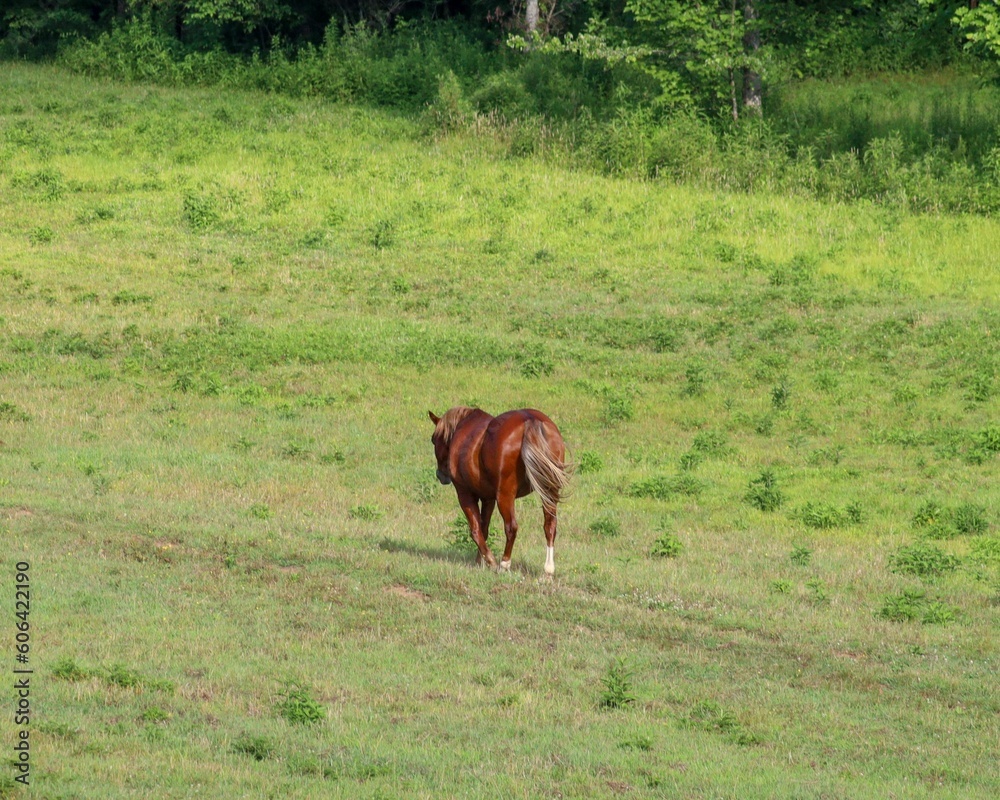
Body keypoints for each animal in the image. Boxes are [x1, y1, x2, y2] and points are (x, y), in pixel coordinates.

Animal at [428, 407, 570, 575]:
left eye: (433, 439)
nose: (440, 475)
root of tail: (530, 420)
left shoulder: (465, 494)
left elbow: (475, 530)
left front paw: (490, 561)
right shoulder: (488, 498)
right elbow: (484, 529)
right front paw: (480, 561)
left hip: (505, 495)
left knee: (511, 527)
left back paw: (504, 563)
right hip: (549, 492)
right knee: (550, 526)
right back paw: (548, 569)